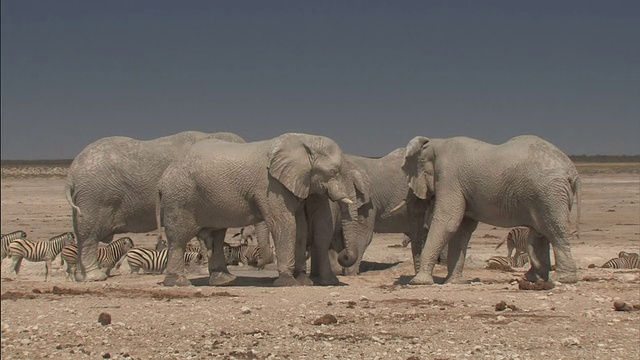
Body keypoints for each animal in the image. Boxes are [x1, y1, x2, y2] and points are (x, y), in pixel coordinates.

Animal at [65, 131, 245, 282]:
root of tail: (72, 174)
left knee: (81, 235)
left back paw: (81, 278)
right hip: (94, 196)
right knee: (88, 235)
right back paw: (95, 277)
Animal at [155, 132, 356, 286]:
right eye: (333, 172)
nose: (344, 254)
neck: (304, 139)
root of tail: (162, 179)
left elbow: (300, 226)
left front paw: (303, 282)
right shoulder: (271, 185)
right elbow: (284, 224)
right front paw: (288, 283)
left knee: (216, 236)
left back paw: (224, 280)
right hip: (179, 199)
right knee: (179, 238)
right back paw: (178, 283)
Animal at [398, 134, 584, 286]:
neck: (436, 143)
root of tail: (572, 170)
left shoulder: (449, 177)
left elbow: (449, 222)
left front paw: (419, 282)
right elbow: (462, 230)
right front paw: (453, 282)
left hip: (549, 192)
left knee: (553, 231)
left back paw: (562, 279)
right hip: (546, 195)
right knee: (542, 232)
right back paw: (534, 278)